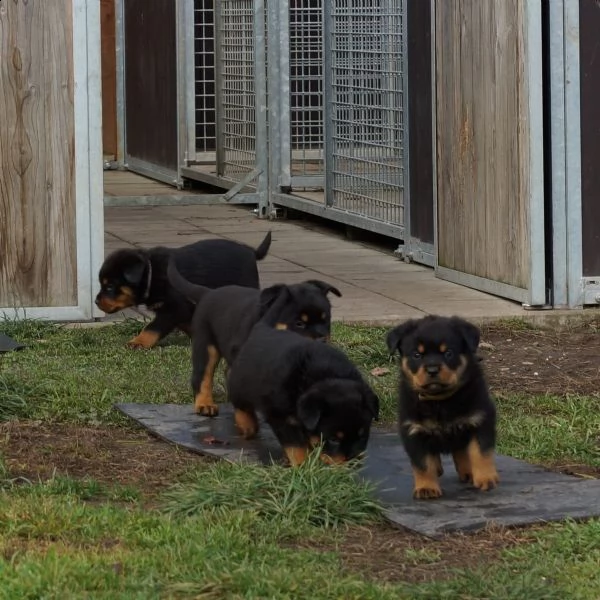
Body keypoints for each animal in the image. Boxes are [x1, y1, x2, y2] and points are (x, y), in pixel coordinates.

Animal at [95, 232, 270, 350]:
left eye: (109, 286)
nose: (96, 301)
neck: (152, 272)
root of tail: (252, 252)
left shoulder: (173, 308)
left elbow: (152, 328)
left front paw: (137, 342)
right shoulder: (183, 308)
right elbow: (188, 323)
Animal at [166, 256, 342, 418]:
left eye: (326, 320)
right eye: (299, 323)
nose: (322, 340)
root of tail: (209, 292)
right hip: (205, 345)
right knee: (202, 376)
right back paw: (205, 404)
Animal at [226, 288, 380, 466]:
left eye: (362, 435)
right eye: (333, 439)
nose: (352, 463)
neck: (323, 376)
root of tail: (262, 327)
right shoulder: (280, 416)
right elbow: (296, 445)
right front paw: (303, 466)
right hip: (240, 381)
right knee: (240, 403)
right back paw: (247, 425)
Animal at [386, 316, 500, 500]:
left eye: (448, 353)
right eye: (417, 355)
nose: (432, 369)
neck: (439, 401)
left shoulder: (480, 419)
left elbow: (480, 452)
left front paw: (486, 477)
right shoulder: (413, 430)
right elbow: (423, 463)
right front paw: (426, 487)